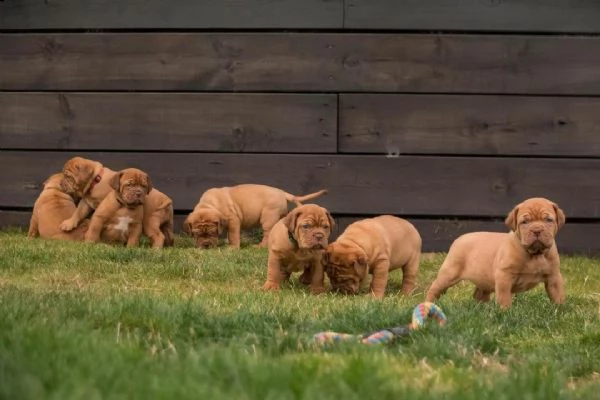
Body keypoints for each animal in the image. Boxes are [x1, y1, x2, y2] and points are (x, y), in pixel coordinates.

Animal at [184, 185, 328, 248]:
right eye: (196, 234)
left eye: (212, 232)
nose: (206, 246)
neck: (209, 205)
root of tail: (282, 193)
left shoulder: (233, 220)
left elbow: (233, 235)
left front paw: (232, 248)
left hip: (268, 217)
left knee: (267, 233)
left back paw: (260, 246)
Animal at [426, 198, 568, 310]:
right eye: (525, 222)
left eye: (548, 220)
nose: (537, 230)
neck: (535, 254)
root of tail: (460, 238)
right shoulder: (504, 276)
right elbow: (504, 297)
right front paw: (505, 312)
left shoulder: (554, 276)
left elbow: (557, 294)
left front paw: (560, 310)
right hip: (449, 273)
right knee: (434, 289)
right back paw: (428, 304)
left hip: (482, 279)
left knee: (479, 294)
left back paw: (482, 309)